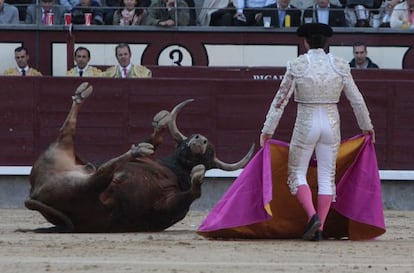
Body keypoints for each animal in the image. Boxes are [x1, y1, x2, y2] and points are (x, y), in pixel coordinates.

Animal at [25, 83, 254, 232]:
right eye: (187, 138)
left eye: (209, 156)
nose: (201, 139)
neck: (173, 169)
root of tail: (35, 191)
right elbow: (154, 140)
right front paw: (161, 122)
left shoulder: (168, 206)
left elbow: (192, 193)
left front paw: (198, 174)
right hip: (59, 154)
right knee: (74, 138)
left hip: (80, 187)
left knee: (99, 171)